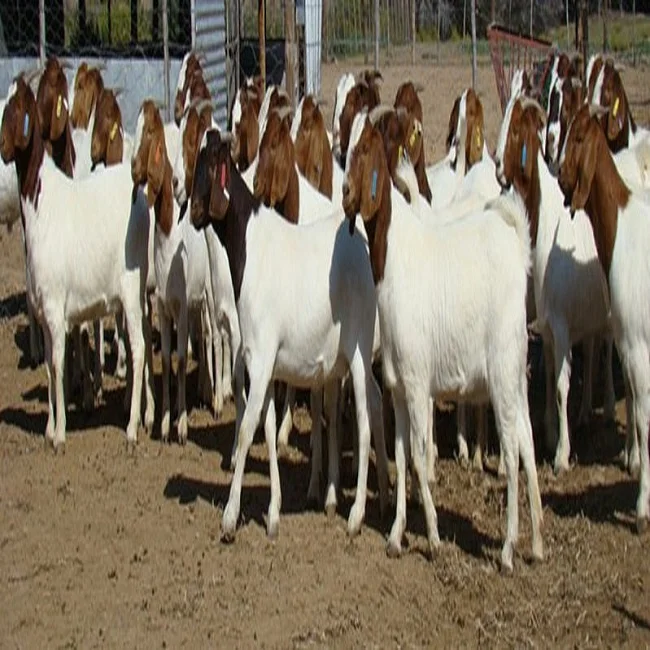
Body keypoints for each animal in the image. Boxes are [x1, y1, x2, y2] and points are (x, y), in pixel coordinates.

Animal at [0, 75, 155, 450]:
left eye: (18, 107)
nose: (3, 148)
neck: (42, 203)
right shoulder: (43, 312)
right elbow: (49, 366)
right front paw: (48, 428)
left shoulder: (56, 307)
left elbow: (57, 364)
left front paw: (59, 434)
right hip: (138, 291)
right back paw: (144, 414)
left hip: (130, 286)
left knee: (140, 346)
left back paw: (131, 428)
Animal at [189, 128, 389, 540]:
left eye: (210, 163)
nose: (195, 213)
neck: (251, 246)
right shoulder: (259, 361)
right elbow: (265, 427)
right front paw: (273, 513)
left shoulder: (263, 356)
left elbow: (247, 429)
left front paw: (230, 517)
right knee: (375, 406)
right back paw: (381, 498)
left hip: (360, 349)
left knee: (363, 419)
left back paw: (356, 516)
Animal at [343, 112, 543, 571]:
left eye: (367, 148)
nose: (344, 193)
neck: (396, 261)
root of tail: (516, 249)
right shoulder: (399, 386)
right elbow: (401, 456)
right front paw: (396, 534)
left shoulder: (419, 386)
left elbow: (419, 457)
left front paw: (432, 536)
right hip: (516, 377)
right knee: (527, 442)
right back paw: (538, 544)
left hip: (501, 376)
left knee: (511, 452)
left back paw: (507, 549)